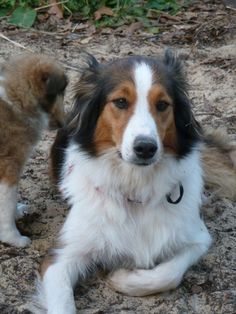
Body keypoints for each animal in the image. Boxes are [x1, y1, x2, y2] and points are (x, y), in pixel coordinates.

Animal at [33, 50, 229, 312]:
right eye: (121, 102)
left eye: (162, 105)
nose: (145, 148)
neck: (136, 189)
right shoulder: (61, 256)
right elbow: (62, 301)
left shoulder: (198, 237)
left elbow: (169, 273)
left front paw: (122, 278)